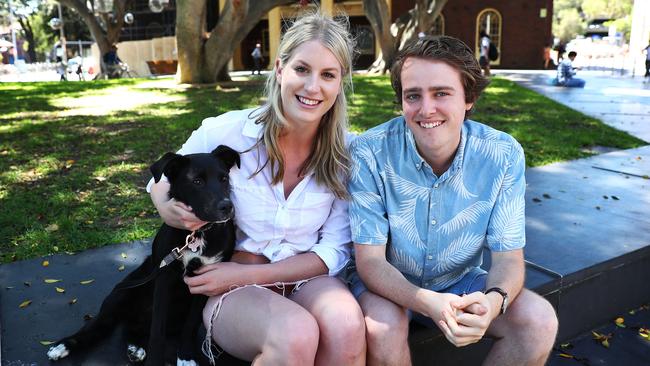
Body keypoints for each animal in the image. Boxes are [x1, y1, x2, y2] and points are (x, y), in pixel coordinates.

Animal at [48, 144, 239, 364]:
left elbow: (190, 325)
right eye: (197, 181)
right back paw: (64, 345)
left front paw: (185, 356)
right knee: (96, 327)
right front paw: (156, 360)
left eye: (224, 178)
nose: (227, 207)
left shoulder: (206, 281)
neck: (197, 234)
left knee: (133, 329)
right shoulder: (164, 279)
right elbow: (157, 330)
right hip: (120, 294)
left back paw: (136, 346)